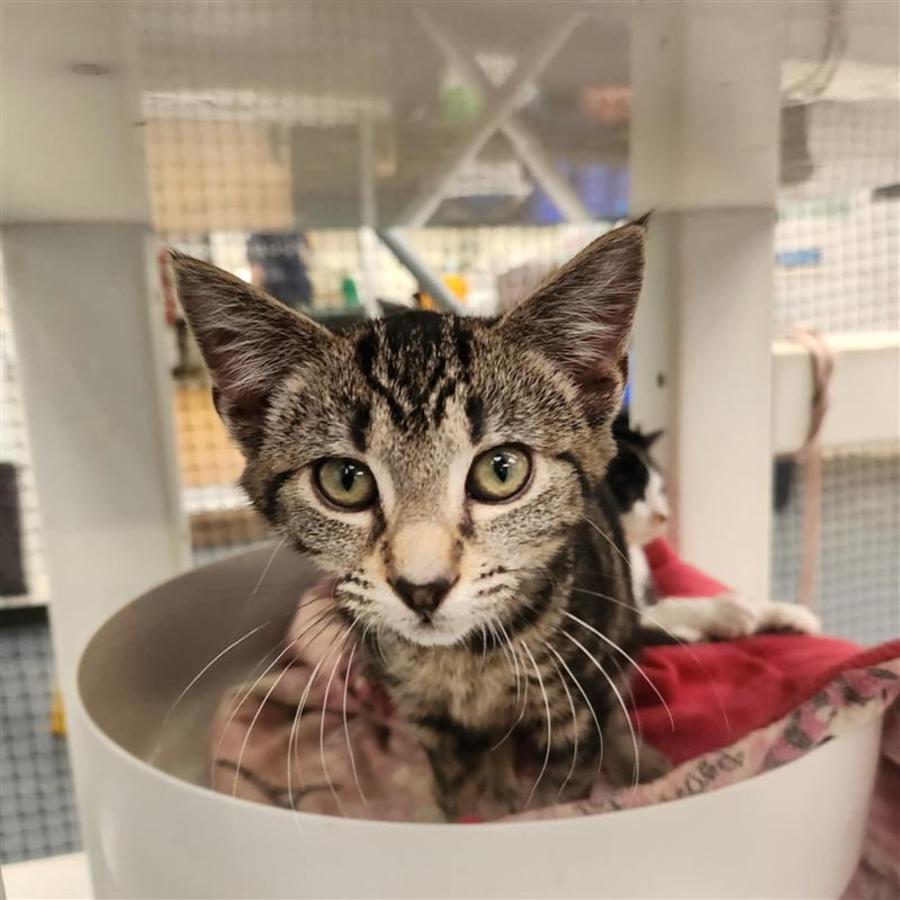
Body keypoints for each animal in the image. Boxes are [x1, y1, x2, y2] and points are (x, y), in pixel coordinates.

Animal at [165, 222, 671, 819]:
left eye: (502, 470)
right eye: (345, 480)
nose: (422, 588)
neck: (465, 663)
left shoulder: (572, 704)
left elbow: (558, 797)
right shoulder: (427, 719)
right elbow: (453, 793)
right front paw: (471, 807)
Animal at [606, 418, 821, 642]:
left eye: (659, 489)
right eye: (631, 494)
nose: (664, 516)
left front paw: (788, 613)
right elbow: (667, 612)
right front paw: (725, 612)